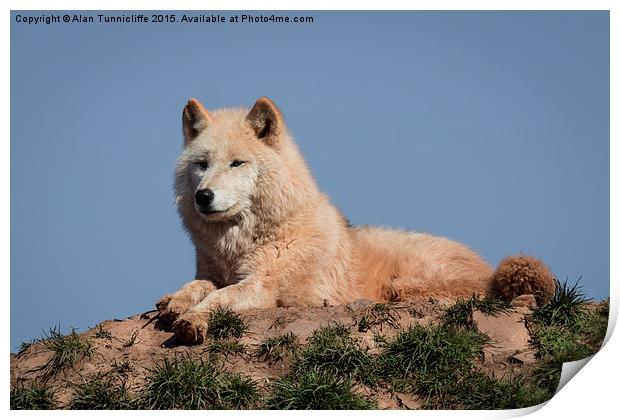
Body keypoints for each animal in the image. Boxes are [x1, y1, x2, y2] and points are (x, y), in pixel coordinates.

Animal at [157, 97, 556, 344]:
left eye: (237, 163)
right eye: (202, 164)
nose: (203, 196)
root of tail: (490, 270)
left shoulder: (264, 287)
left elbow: (221, 296)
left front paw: (192, 320)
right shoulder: (212, 271)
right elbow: (200, 285)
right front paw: (175, 301)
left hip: (408, 285)